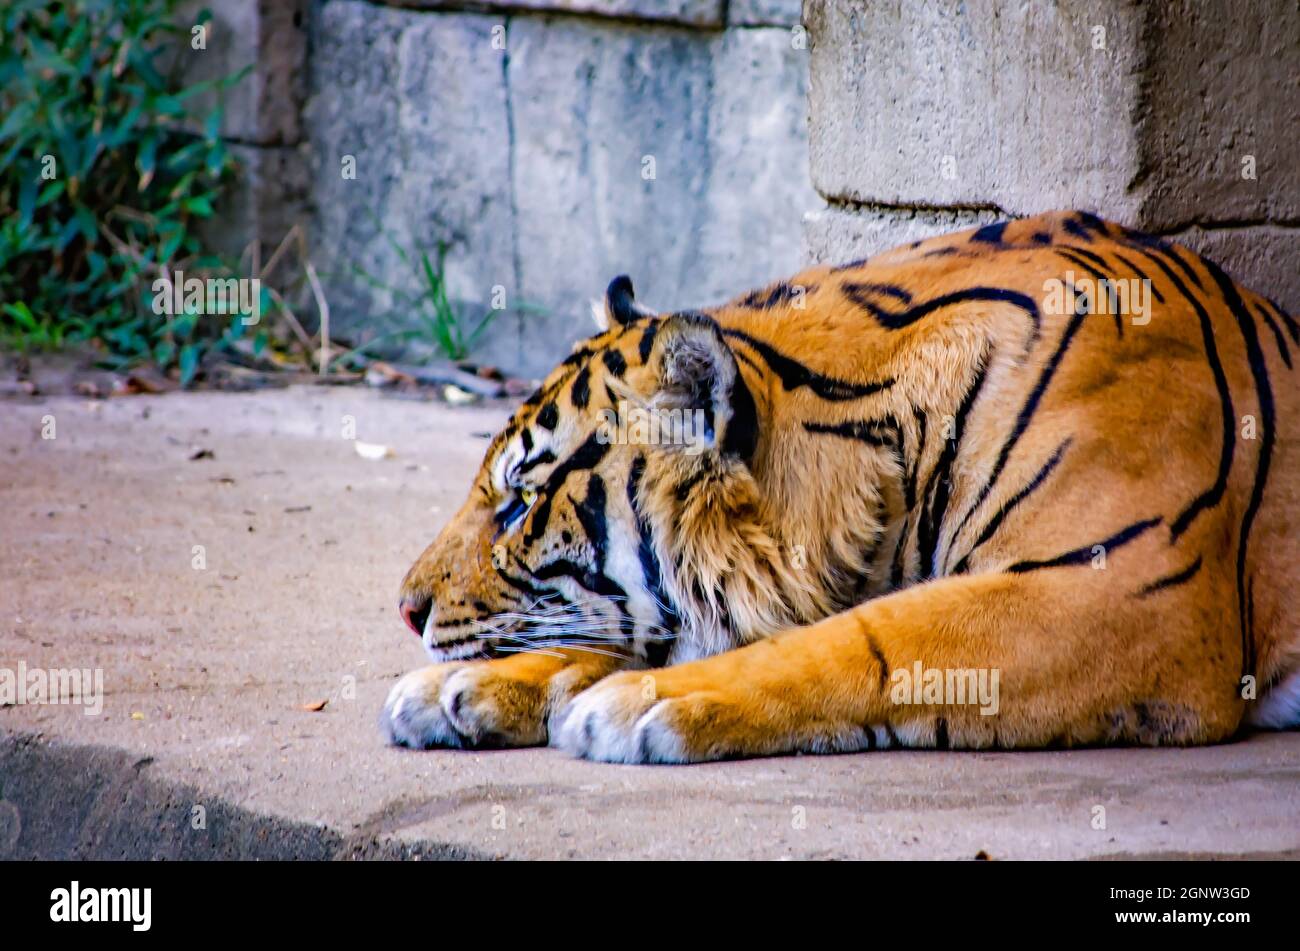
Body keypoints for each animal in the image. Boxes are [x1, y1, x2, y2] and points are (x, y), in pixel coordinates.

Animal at [379, 211, 1294, 763]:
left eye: (520, 503)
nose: (406, 609)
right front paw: (461, 688)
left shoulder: (1119, 595)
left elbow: (857, 641)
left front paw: (635, 700)